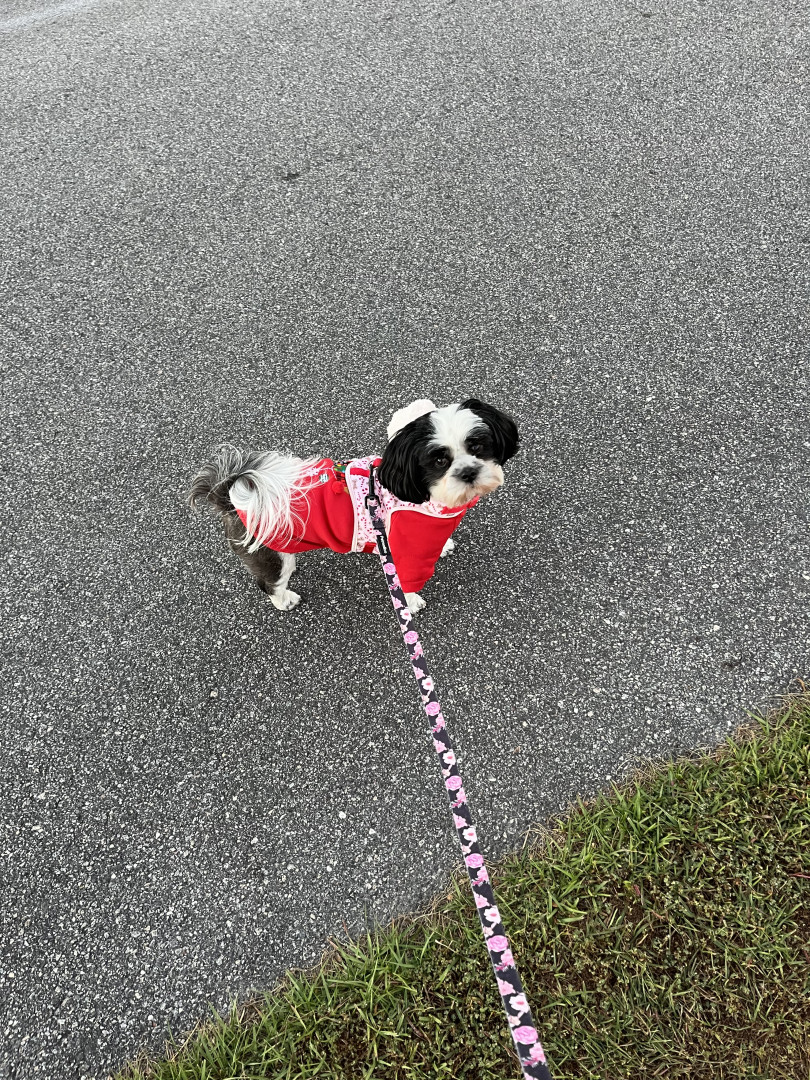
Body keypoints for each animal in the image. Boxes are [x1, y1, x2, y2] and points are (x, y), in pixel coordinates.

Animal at [188, 397, 519, 614]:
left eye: (477, 445)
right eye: (439, 461)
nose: (468, 471)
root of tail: (231, 497)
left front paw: (446, 544)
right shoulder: (408, 552)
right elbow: (407, 585)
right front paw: (411, 604)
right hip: (269, 554)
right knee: (269, 583)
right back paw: (285, 600)